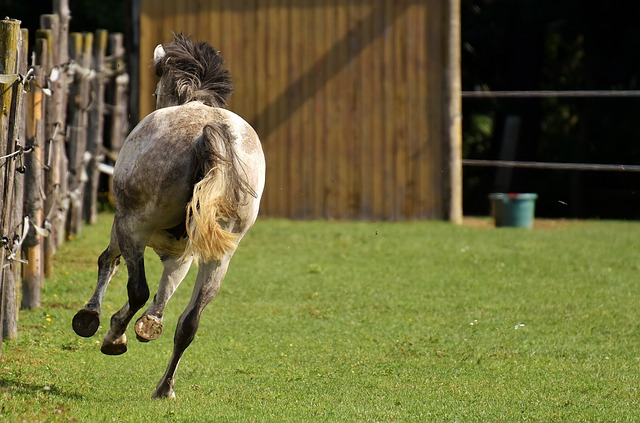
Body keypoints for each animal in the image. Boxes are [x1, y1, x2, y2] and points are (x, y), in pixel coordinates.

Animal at [72, 34, 264, 400]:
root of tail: (209, 130)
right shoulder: (184, 254)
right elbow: (166, 290)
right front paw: (151, 324)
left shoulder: (122, 224)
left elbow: (109, 263)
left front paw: (91, 316)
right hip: (219, 258)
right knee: (190, 322)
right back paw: (164, 387)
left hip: (133, 225)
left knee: (137, 289)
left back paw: (114, 338)